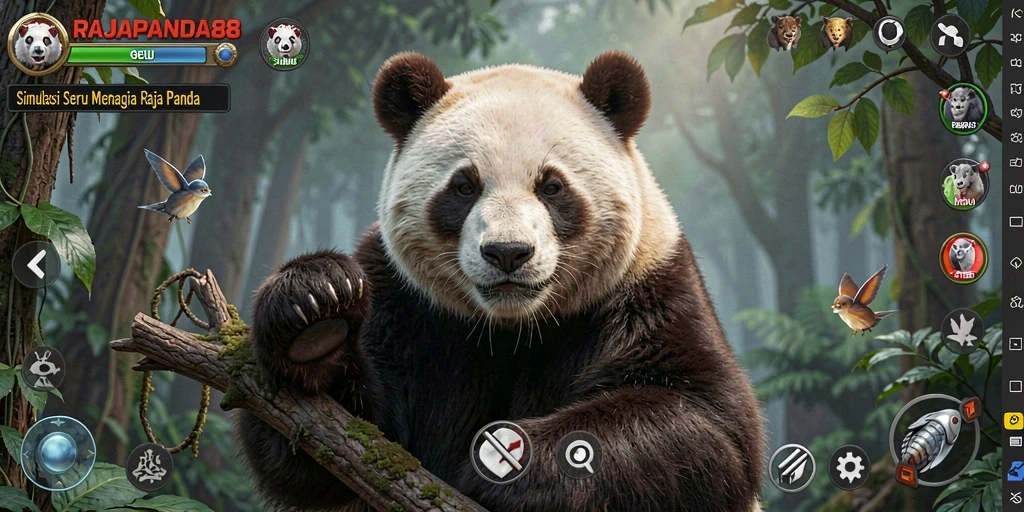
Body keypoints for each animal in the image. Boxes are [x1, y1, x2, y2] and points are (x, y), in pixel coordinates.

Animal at [238, 51, 765, 512]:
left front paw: (502, 466)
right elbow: (339, 450)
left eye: (552, 186)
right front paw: (314, 313)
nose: (508, 253)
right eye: (464, 186)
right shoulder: (405, 299)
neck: (512, 325)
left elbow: (707, 425)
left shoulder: (648, 287)